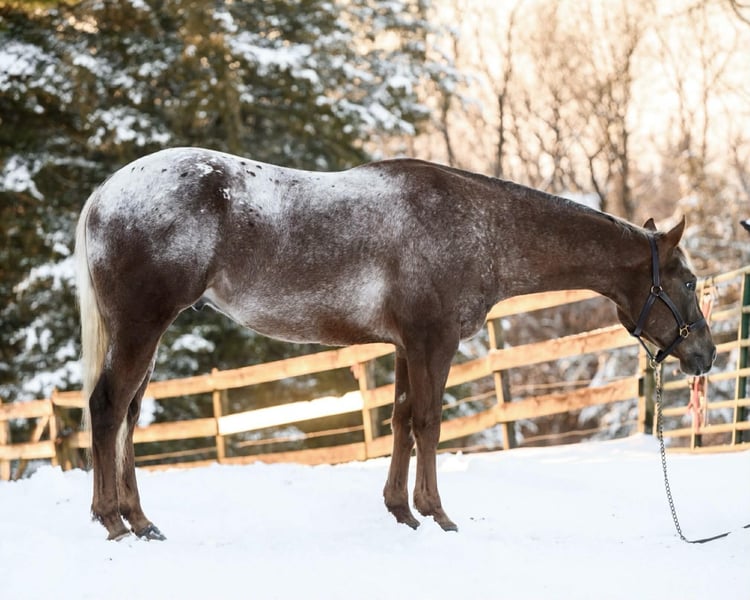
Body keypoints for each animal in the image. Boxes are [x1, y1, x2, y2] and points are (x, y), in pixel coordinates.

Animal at [75, 147, 716, 540]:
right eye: (687, 282)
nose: (705, 355)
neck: (478, 226)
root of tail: (106, 193)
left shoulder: (406, 347)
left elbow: (401, 419)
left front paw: (402, 512)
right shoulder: (434, 342)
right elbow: (429, 421)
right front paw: (438, 515)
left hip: (145, 332)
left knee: (129, 414)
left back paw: (140, 521)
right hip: (142, 325)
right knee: (108, 408)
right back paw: (112, 521)